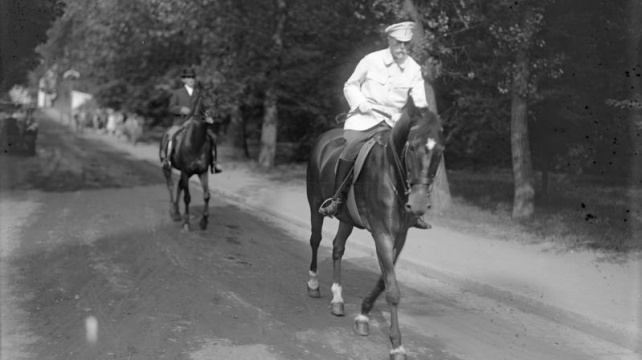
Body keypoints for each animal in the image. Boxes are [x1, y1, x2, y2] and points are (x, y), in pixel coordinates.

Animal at [304, 101, 440, 360]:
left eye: (440, 151)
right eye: (412, 147)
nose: (418, 204)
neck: (393, 174)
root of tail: (324, 138)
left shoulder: (399, 236)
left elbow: (384, 281)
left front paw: (363, 315)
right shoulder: (382, 234)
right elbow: (392, 290)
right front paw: (396, 345)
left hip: (347, 218)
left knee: (337, 248)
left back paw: (337, 299)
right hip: (315, 204)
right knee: (315, 240)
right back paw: (314, 284)